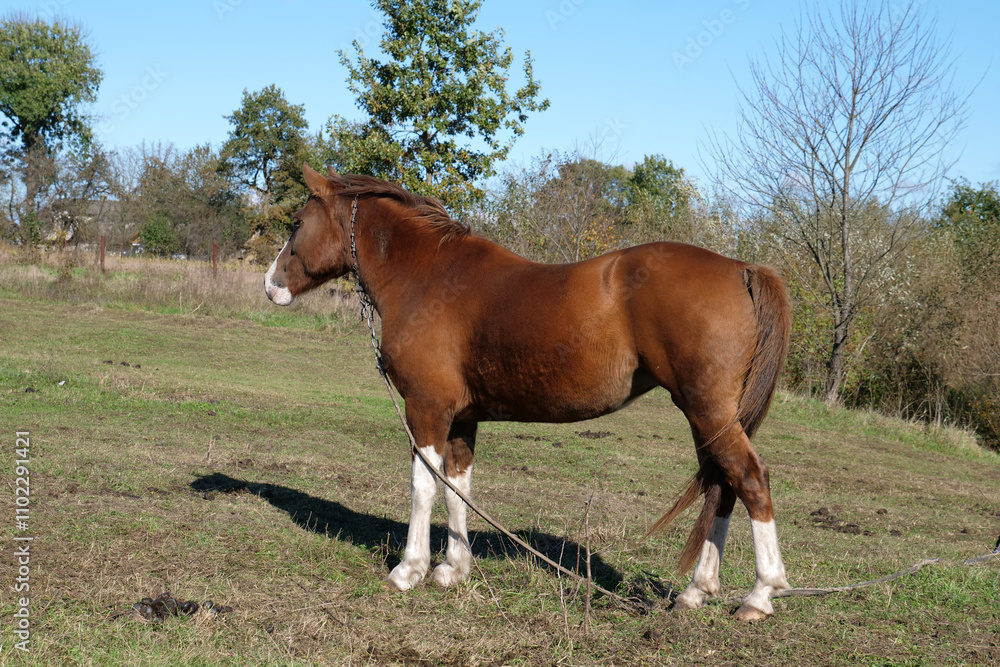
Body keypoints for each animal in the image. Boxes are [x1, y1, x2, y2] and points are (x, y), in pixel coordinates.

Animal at [265, 164, 792, 621]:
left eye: (296, 222)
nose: (271, 286)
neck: (428, 277)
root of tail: (741, 268)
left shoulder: (426, 409)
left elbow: (424, 486)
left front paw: (408, 570)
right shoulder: (462, 417)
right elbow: (458, 487)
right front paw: (453, 569)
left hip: (707, 410)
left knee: (750, 479)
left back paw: (760, 595)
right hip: (712, 419)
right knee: (724, 486)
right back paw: (696, 591)